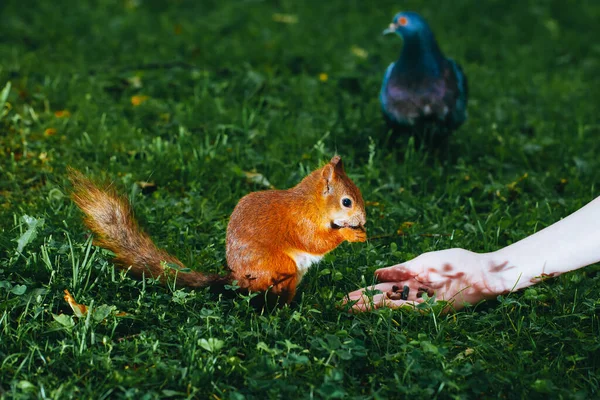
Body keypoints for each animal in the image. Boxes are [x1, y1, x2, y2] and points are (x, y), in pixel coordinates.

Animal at [66, 155, 366, 304]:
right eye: (346, 201)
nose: (364, 219)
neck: (312, 203)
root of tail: (236, 279)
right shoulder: (301, 221)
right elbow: (314, 241)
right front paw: (349, 233)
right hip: (277, 267)